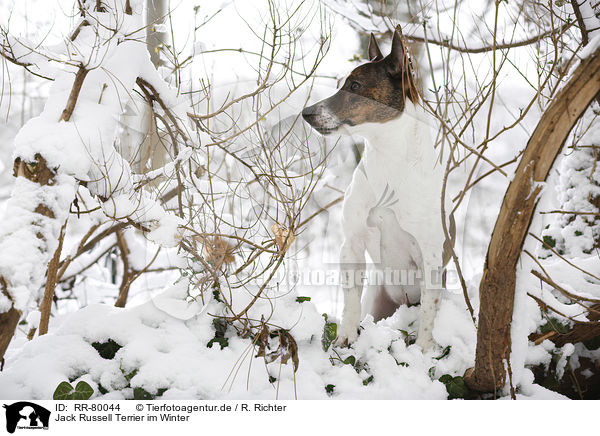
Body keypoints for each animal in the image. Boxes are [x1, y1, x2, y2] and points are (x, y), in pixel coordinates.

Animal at [304, 25, 446, 350]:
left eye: (355, 85)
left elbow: (429, 310)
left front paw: (424, 348)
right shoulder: (352, 244)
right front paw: (345, 336)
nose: (306, 113)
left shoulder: (430, 253)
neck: (388, 158)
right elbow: (350, 301)